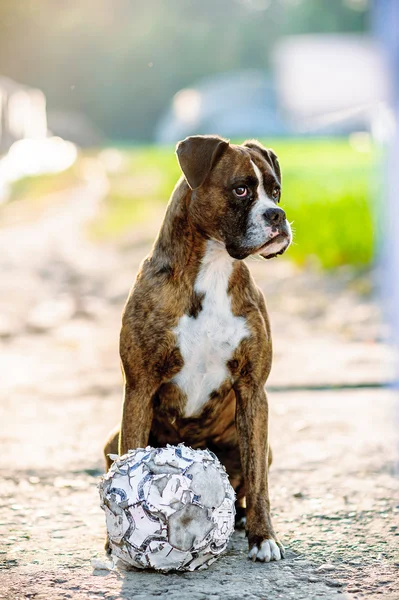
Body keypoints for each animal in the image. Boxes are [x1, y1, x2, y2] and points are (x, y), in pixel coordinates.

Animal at [105, 136, 294, 564]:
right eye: (240, 190)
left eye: (275, 191)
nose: (277, 214)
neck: (213, 268)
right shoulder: (139, 388)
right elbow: (129, 462)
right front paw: (118, 541)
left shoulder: (252, 391)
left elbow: (259, 483)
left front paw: (264, 538)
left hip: (263, 446)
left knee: (245, 484)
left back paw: (240, 518)